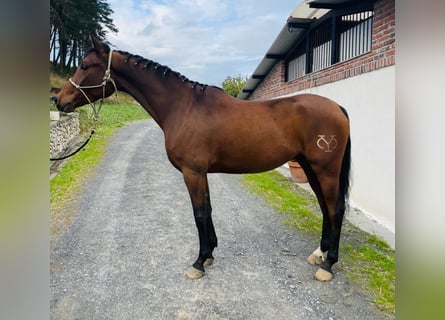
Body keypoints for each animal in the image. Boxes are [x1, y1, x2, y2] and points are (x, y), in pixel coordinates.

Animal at [51, 37, 350, 282]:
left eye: (85, 65)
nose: (58, 99)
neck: (184, 107)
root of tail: (337, 107)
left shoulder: (192, 172)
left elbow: (199, 213)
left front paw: (198, 262)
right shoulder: (200, 173)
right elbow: (208, 210)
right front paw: (209, 255)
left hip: (325, 170)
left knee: (335, 209)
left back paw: (328, 266)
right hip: (311, 168)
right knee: (325, 207)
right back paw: (319, 254)